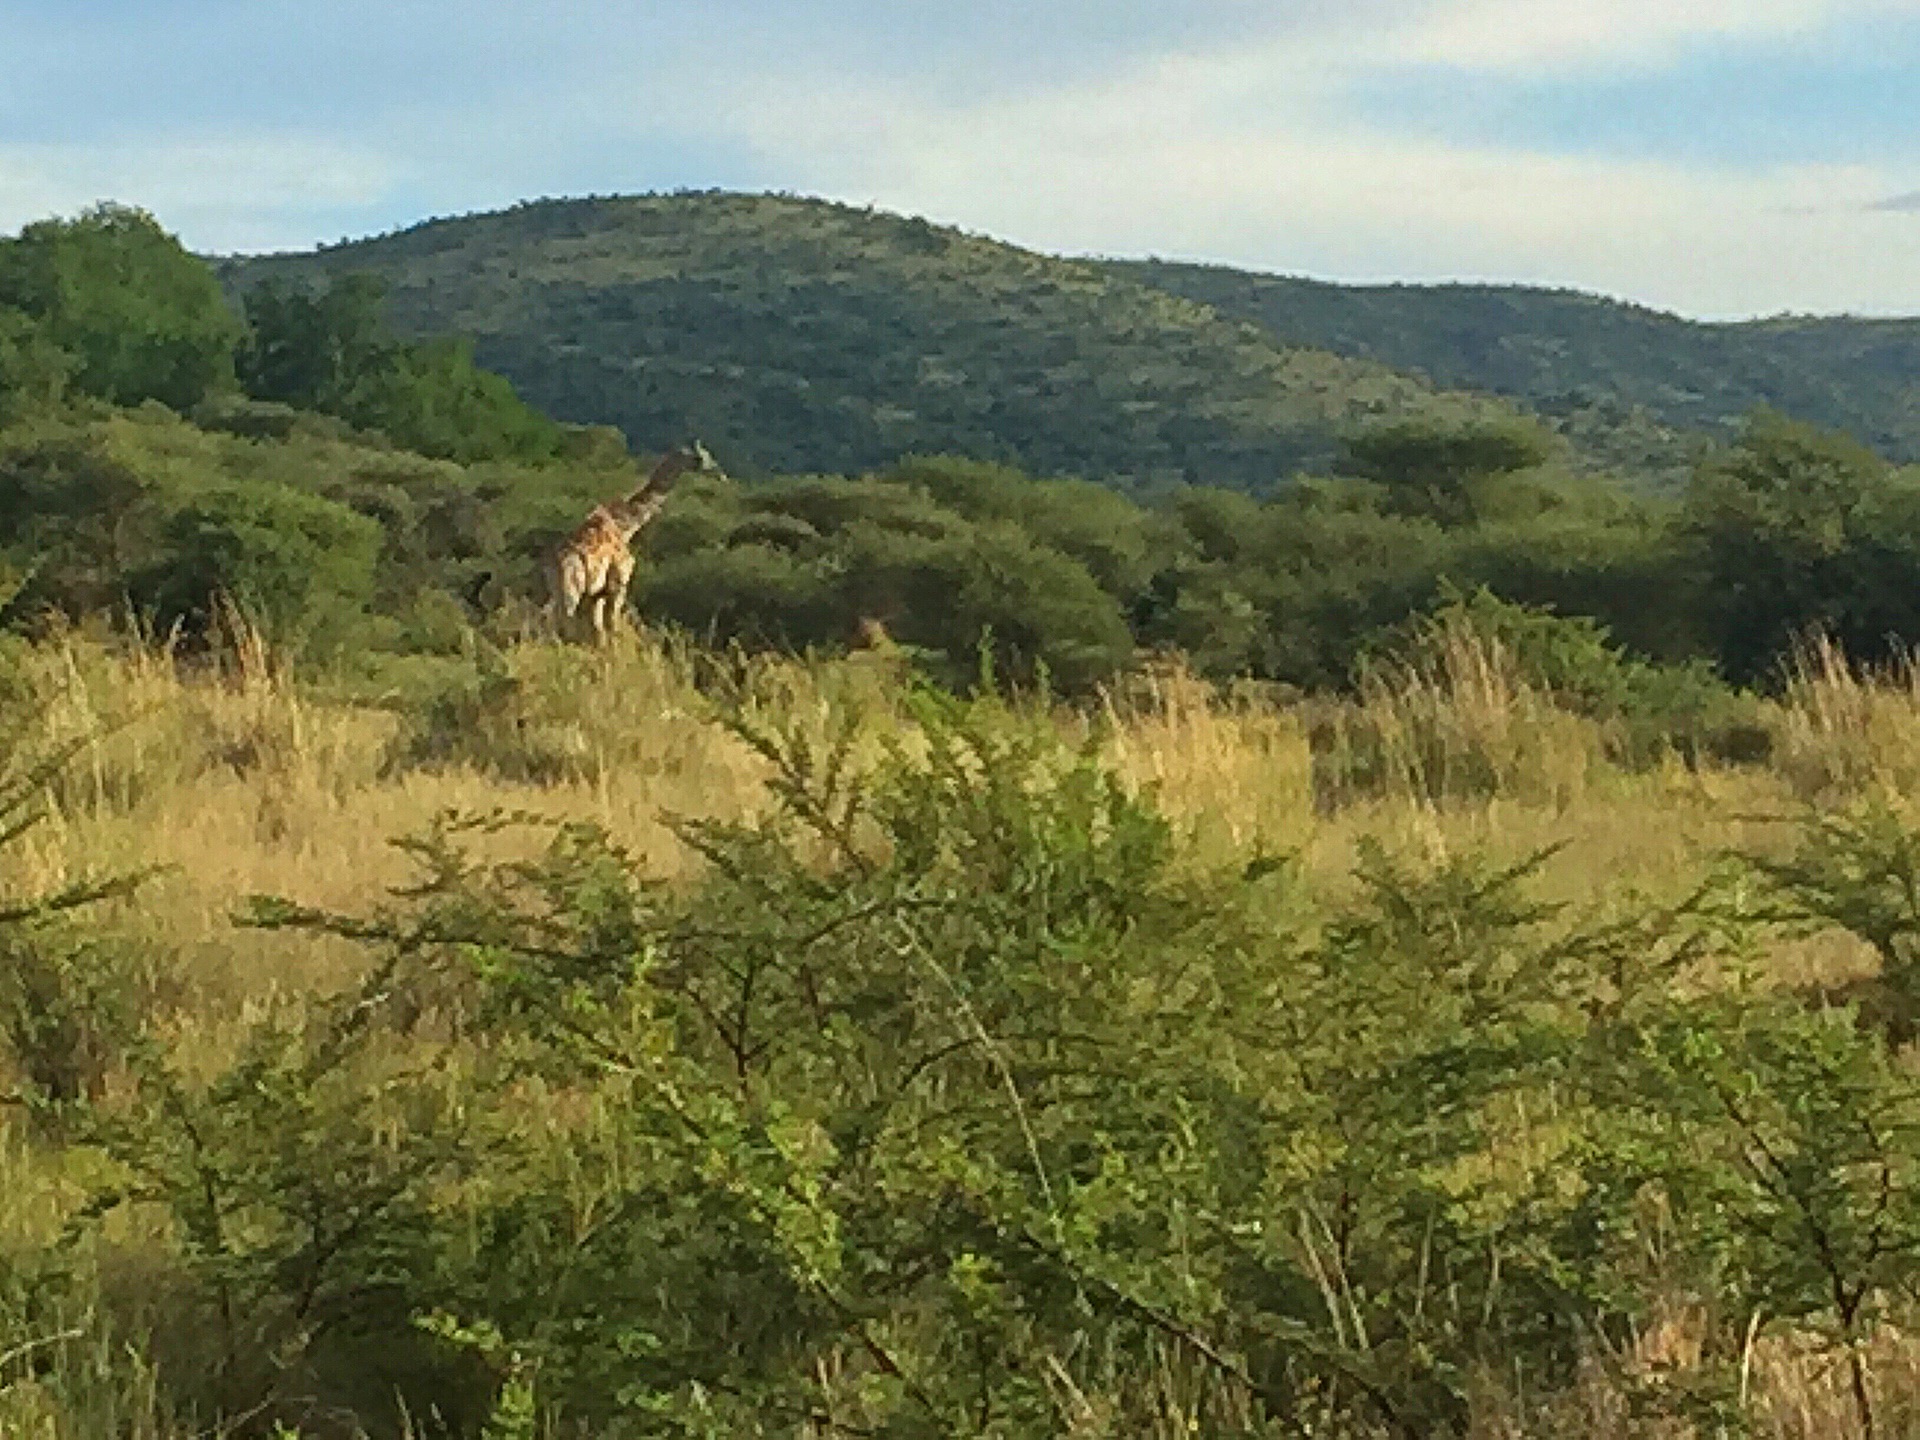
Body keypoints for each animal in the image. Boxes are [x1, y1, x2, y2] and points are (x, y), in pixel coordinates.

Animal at [552, 439, 721, 641]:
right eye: (703, 457)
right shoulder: (619, 582)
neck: (624, 526)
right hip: (572, 591)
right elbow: (612, 626)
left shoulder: (596, 594)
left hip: (561, 593)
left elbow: (598, 632)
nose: (720, 474)